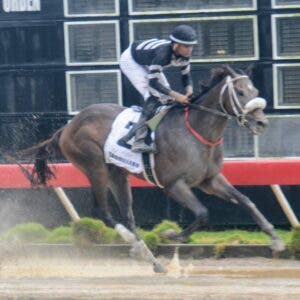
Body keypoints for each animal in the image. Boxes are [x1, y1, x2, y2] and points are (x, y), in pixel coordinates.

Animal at [20, 65, 284, 272]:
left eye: (255, 92)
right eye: (240, 92)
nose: (261, 122)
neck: (196, 132)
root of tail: (68, 126)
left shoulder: (210, 180)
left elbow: (246, 201)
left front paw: (275, 239)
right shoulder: (174, 185)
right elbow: (202, 213)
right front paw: (171, 235)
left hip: (117, 173)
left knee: (127, 215)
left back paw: (151, 259)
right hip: (95, 167)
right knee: (103, 212)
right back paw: (137, 246)